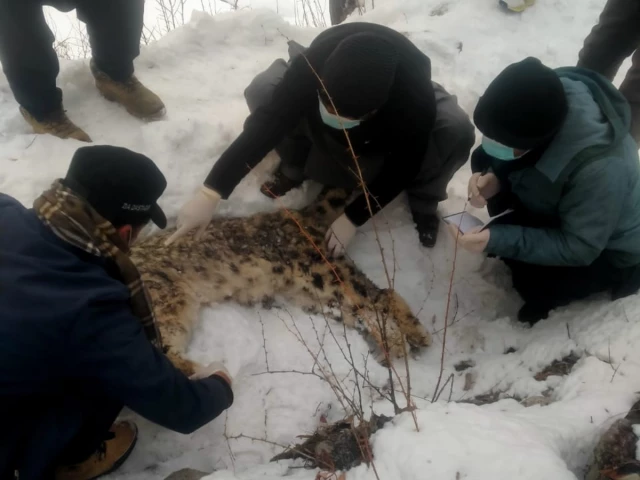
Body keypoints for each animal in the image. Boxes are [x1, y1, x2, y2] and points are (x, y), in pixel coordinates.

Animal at [130, 186, 432, 376]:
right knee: (365, 309)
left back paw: (412, 337)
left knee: (380, 294)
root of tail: (299, 214)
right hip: (315, 295)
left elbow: (159, 354)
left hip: (323, 273)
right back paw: (399, 342)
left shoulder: (162, 307)